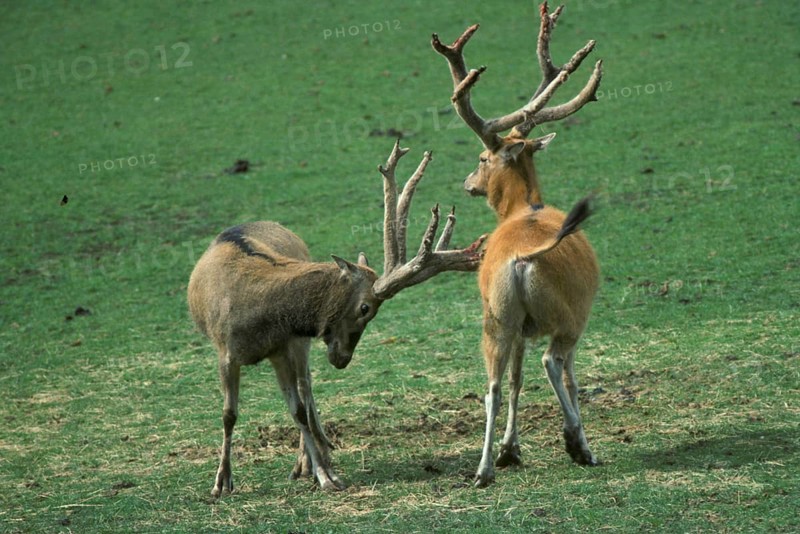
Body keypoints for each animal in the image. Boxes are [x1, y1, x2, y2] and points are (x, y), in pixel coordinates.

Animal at [188, 140, 485, 497]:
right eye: (365, 308)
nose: (343, 358)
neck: (257, 312)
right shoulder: (226, 352)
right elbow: (229, 414)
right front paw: (221, 482)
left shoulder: (283, 346)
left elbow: (298, 410)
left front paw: (325, 474)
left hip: (300, 345)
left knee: (307, 388)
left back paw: (313, 457)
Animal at [432, 1, 604, 487]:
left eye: (480, 158)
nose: (467, 181)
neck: (524, 208)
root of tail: (523, 259)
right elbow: (569, 380)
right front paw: (567, 441)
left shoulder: (520, 328)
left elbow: (514, 380)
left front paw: (512, 450)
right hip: (569, 317)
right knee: (555, 363)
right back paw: (579, 444)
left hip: (497, 315)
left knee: (492, 384)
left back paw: (484, 469)